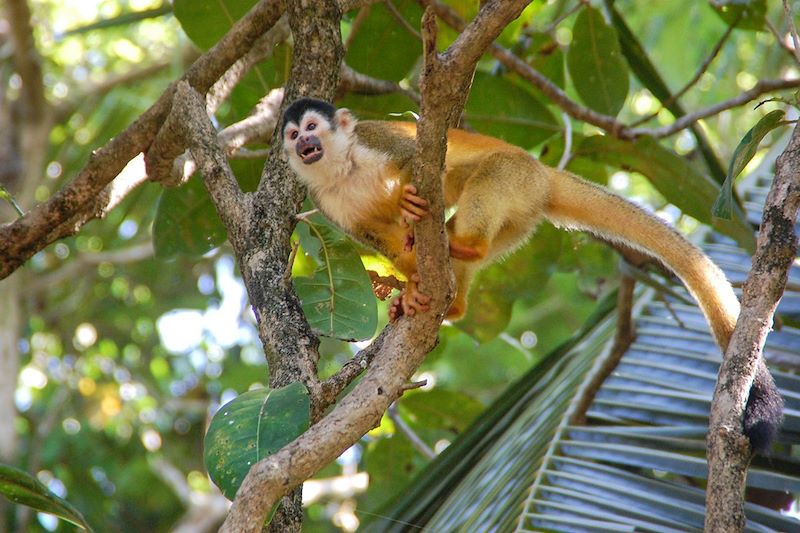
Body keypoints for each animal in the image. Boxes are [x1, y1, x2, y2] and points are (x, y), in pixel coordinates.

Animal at [280, 97, 780, 450]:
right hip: (521, 221)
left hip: (519, 180)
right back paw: (450, 296)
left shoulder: (374, 138)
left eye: (312, 127)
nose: (304, 144)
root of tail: (545, 174)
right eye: (292, 134)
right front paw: (410, 287)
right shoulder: (326, 202)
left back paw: (462, 243)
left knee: (483, 170)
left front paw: (409, 203)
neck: (342, 169)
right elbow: (375, 239)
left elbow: (425, 162)